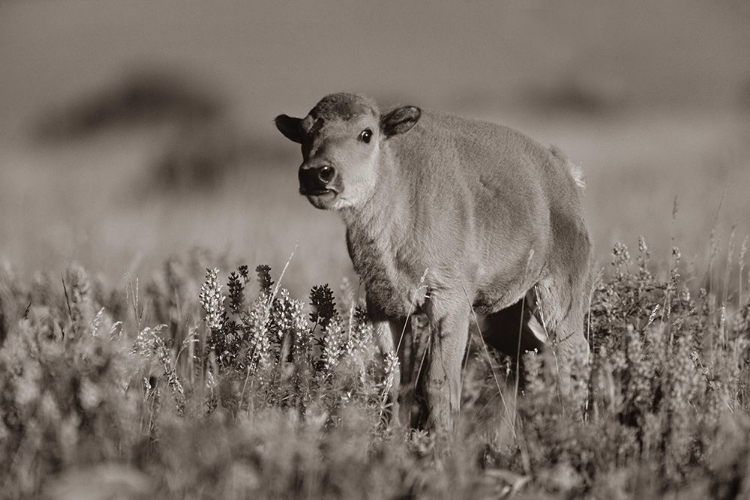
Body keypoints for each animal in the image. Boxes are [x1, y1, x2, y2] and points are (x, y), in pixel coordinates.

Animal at [276, 94, 592, 434]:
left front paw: (441, 440)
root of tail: (563, 173)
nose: (317, 173)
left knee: (573, 352)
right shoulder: (384, 307)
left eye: (366, 133)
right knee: (534, 353)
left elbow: (437, 382)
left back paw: (574, 426)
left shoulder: (447, 303)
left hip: (557, 293)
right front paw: (393, 434)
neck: (398, 187)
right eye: (305, 133)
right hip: (503, 314)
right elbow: (395, 380)